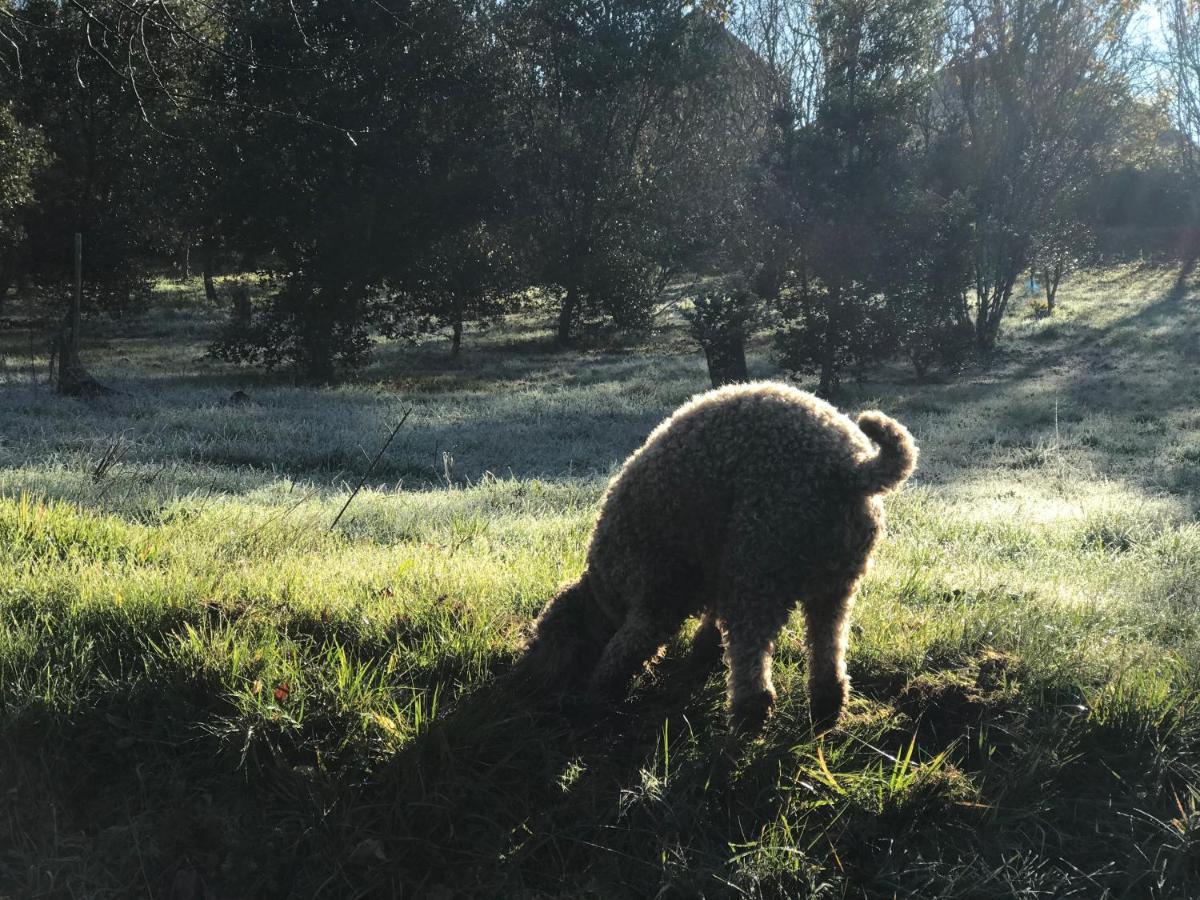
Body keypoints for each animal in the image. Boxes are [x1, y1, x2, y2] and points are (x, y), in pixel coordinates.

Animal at [516, 381, 916, 734]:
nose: (526, 682)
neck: (604, 589)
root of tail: (850, 467)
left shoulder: (655, 604)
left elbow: (620, 654)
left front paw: (595, 697)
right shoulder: (710, 575)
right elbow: (709, 621)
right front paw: (704, 651)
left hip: (757, 569)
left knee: (752, 662)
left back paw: (747, 719)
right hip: (834, 586)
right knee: (827, 653)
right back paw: (824, 709)